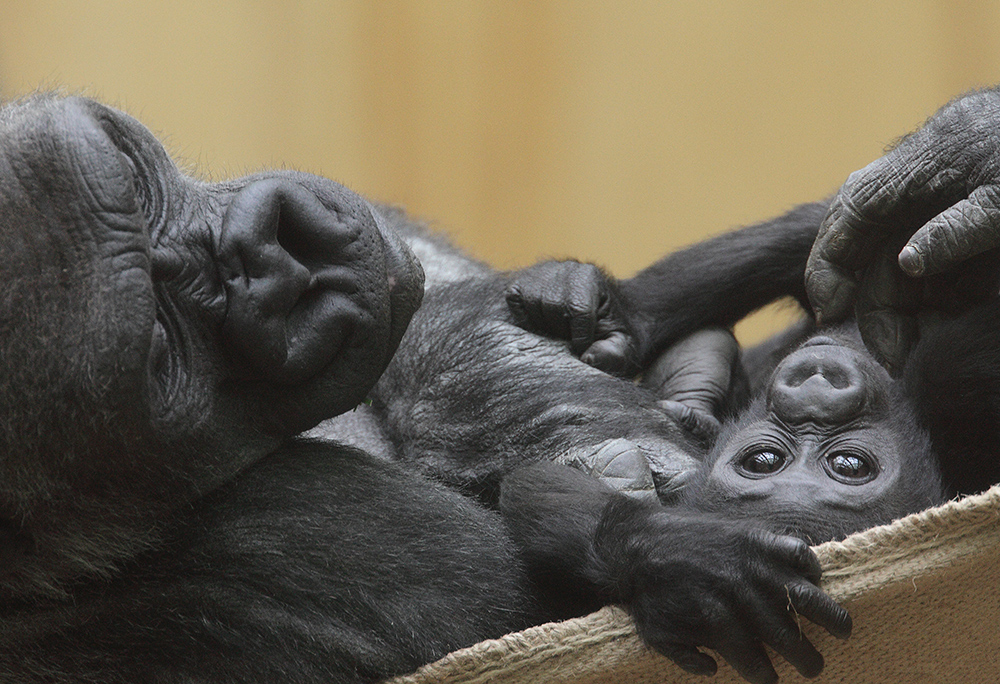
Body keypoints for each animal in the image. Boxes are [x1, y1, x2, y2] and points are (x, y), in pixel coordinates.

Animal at [0, 95, 852, 684]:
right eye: (159, 346)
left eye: (129, 173)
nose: (274, 254)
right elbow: (520, 605)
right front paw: (648, 539)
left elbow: (429, 304)